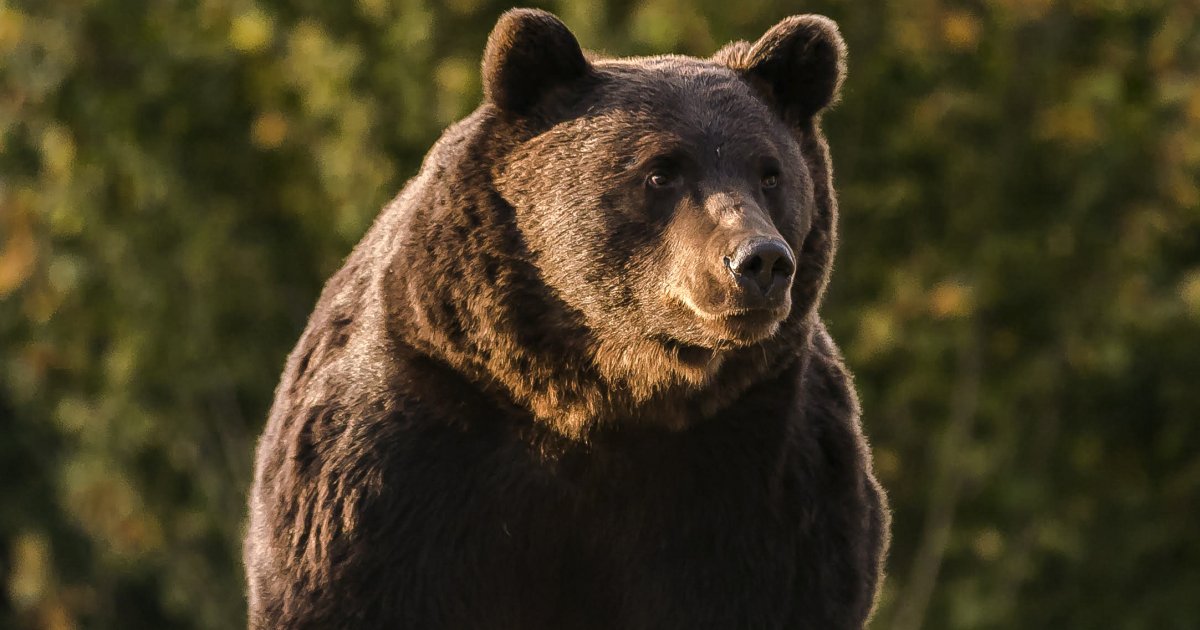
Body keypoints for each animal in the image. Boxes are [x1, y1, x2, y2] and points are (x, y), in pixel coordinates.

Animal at [243, 8, 892, 628]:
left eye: (770, 172)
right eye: (661, 171)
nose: (759, 261)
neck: (598, 397)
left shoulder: (756, 473)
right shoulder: (407, 451)